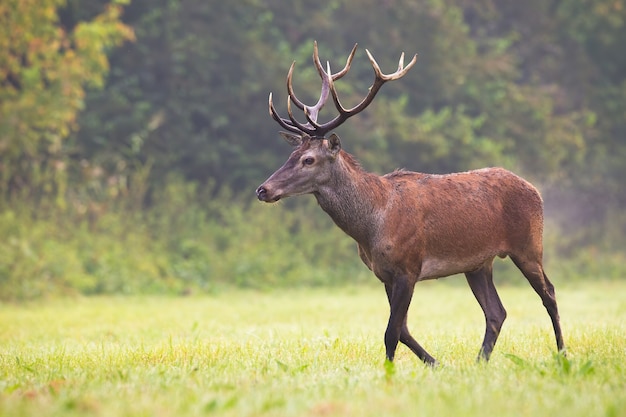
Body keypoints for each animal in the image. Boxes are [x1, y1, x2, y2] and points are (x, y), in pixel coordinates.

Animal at [256, 42, 564, 364]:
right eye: (290, 156)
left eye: (308, 159)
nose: (263, 190)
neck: (371, 225)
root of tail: (535, 189)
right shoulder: (384, 274)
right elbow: (402, 329)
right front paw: (435, 363)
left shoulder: (408, 267)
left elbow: (392, 331)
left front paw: (391, 370)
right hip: (479, 263)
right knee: (497, 312)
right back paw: (480, 362)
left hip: (529, 245)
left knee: (550, 294)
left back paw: (561, 352)